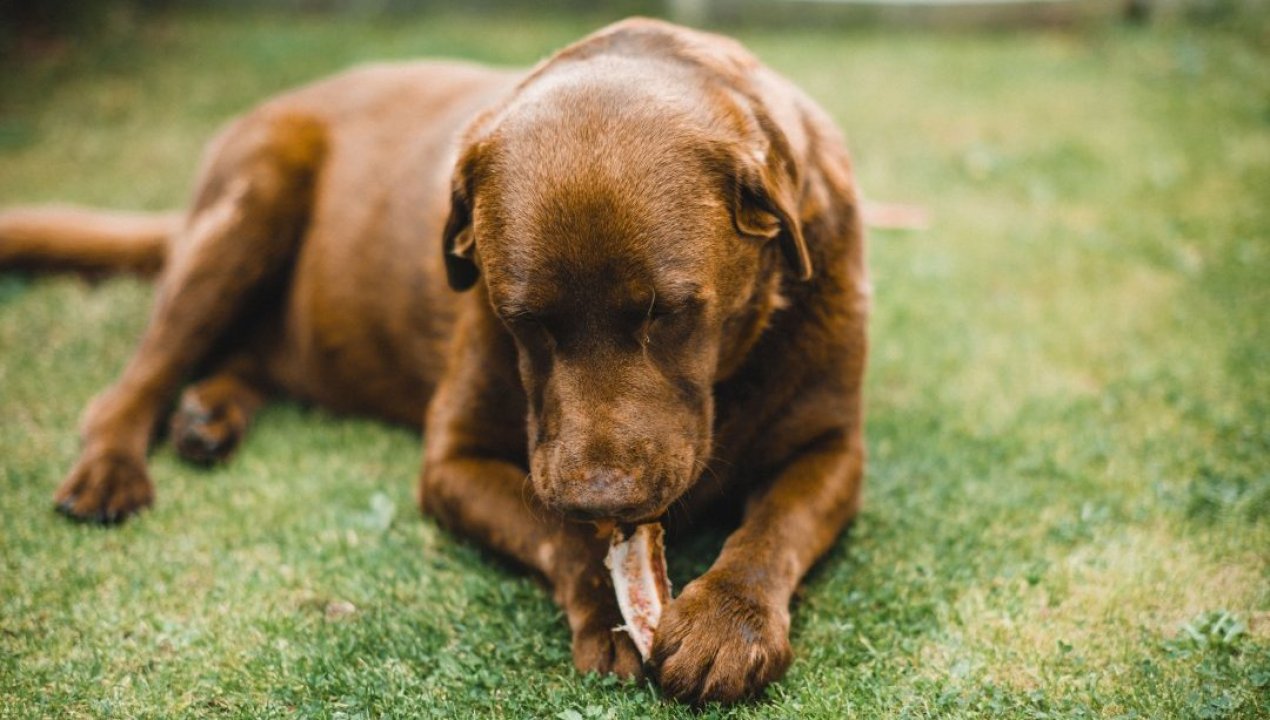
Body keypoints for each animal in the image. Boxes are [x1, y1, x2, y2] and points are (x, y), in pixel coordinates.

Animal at [0, 16, 868, 706]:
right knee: (134, 381)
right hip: (252, 200)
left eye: (671, 312)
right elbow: (553, 533)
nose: (600, 498)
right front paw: (608, 610)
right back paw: (113, 468)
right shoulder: (452, 460)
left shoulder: (835, 448)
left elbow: (775, 528)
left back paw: (207, 415)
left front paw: (727, 622)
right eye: (523, 321)